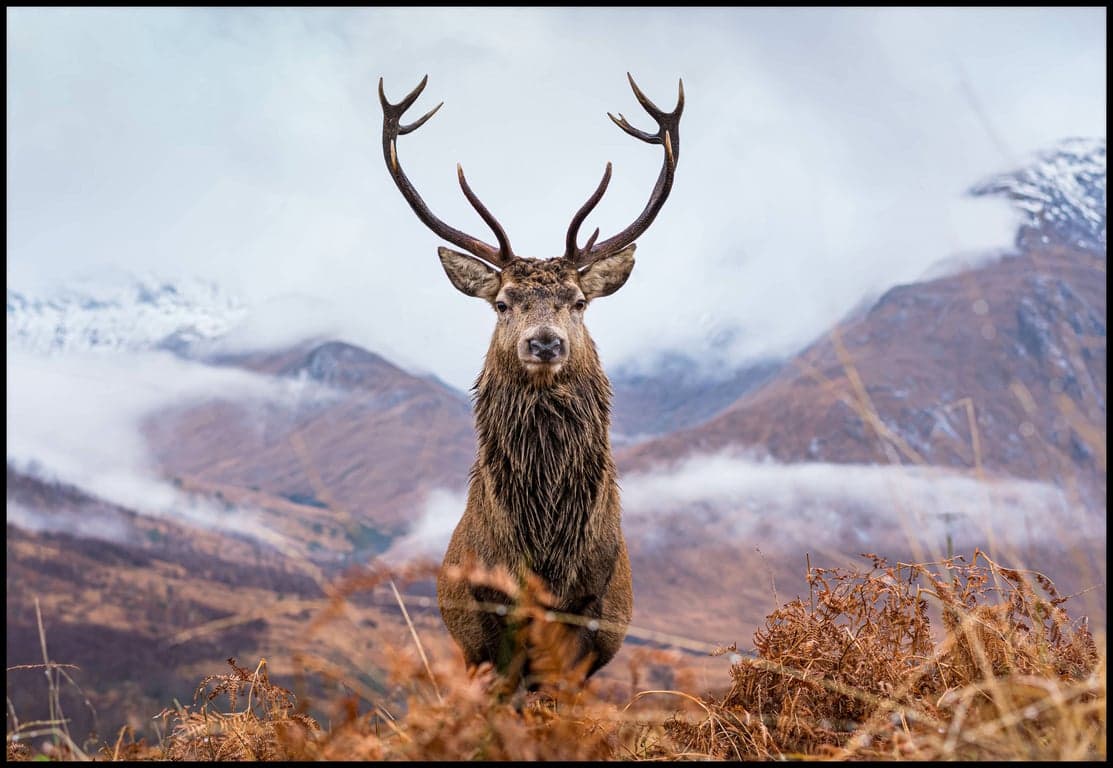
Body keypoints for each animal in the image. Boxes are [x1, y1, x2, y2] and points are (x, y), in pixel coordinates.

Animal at [378, 73, 682, 692]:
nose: (544, 343)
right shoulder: (489, 614)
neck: (544, 551)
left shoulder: (588, 610)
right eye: (502, 302)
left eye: (579, 301)